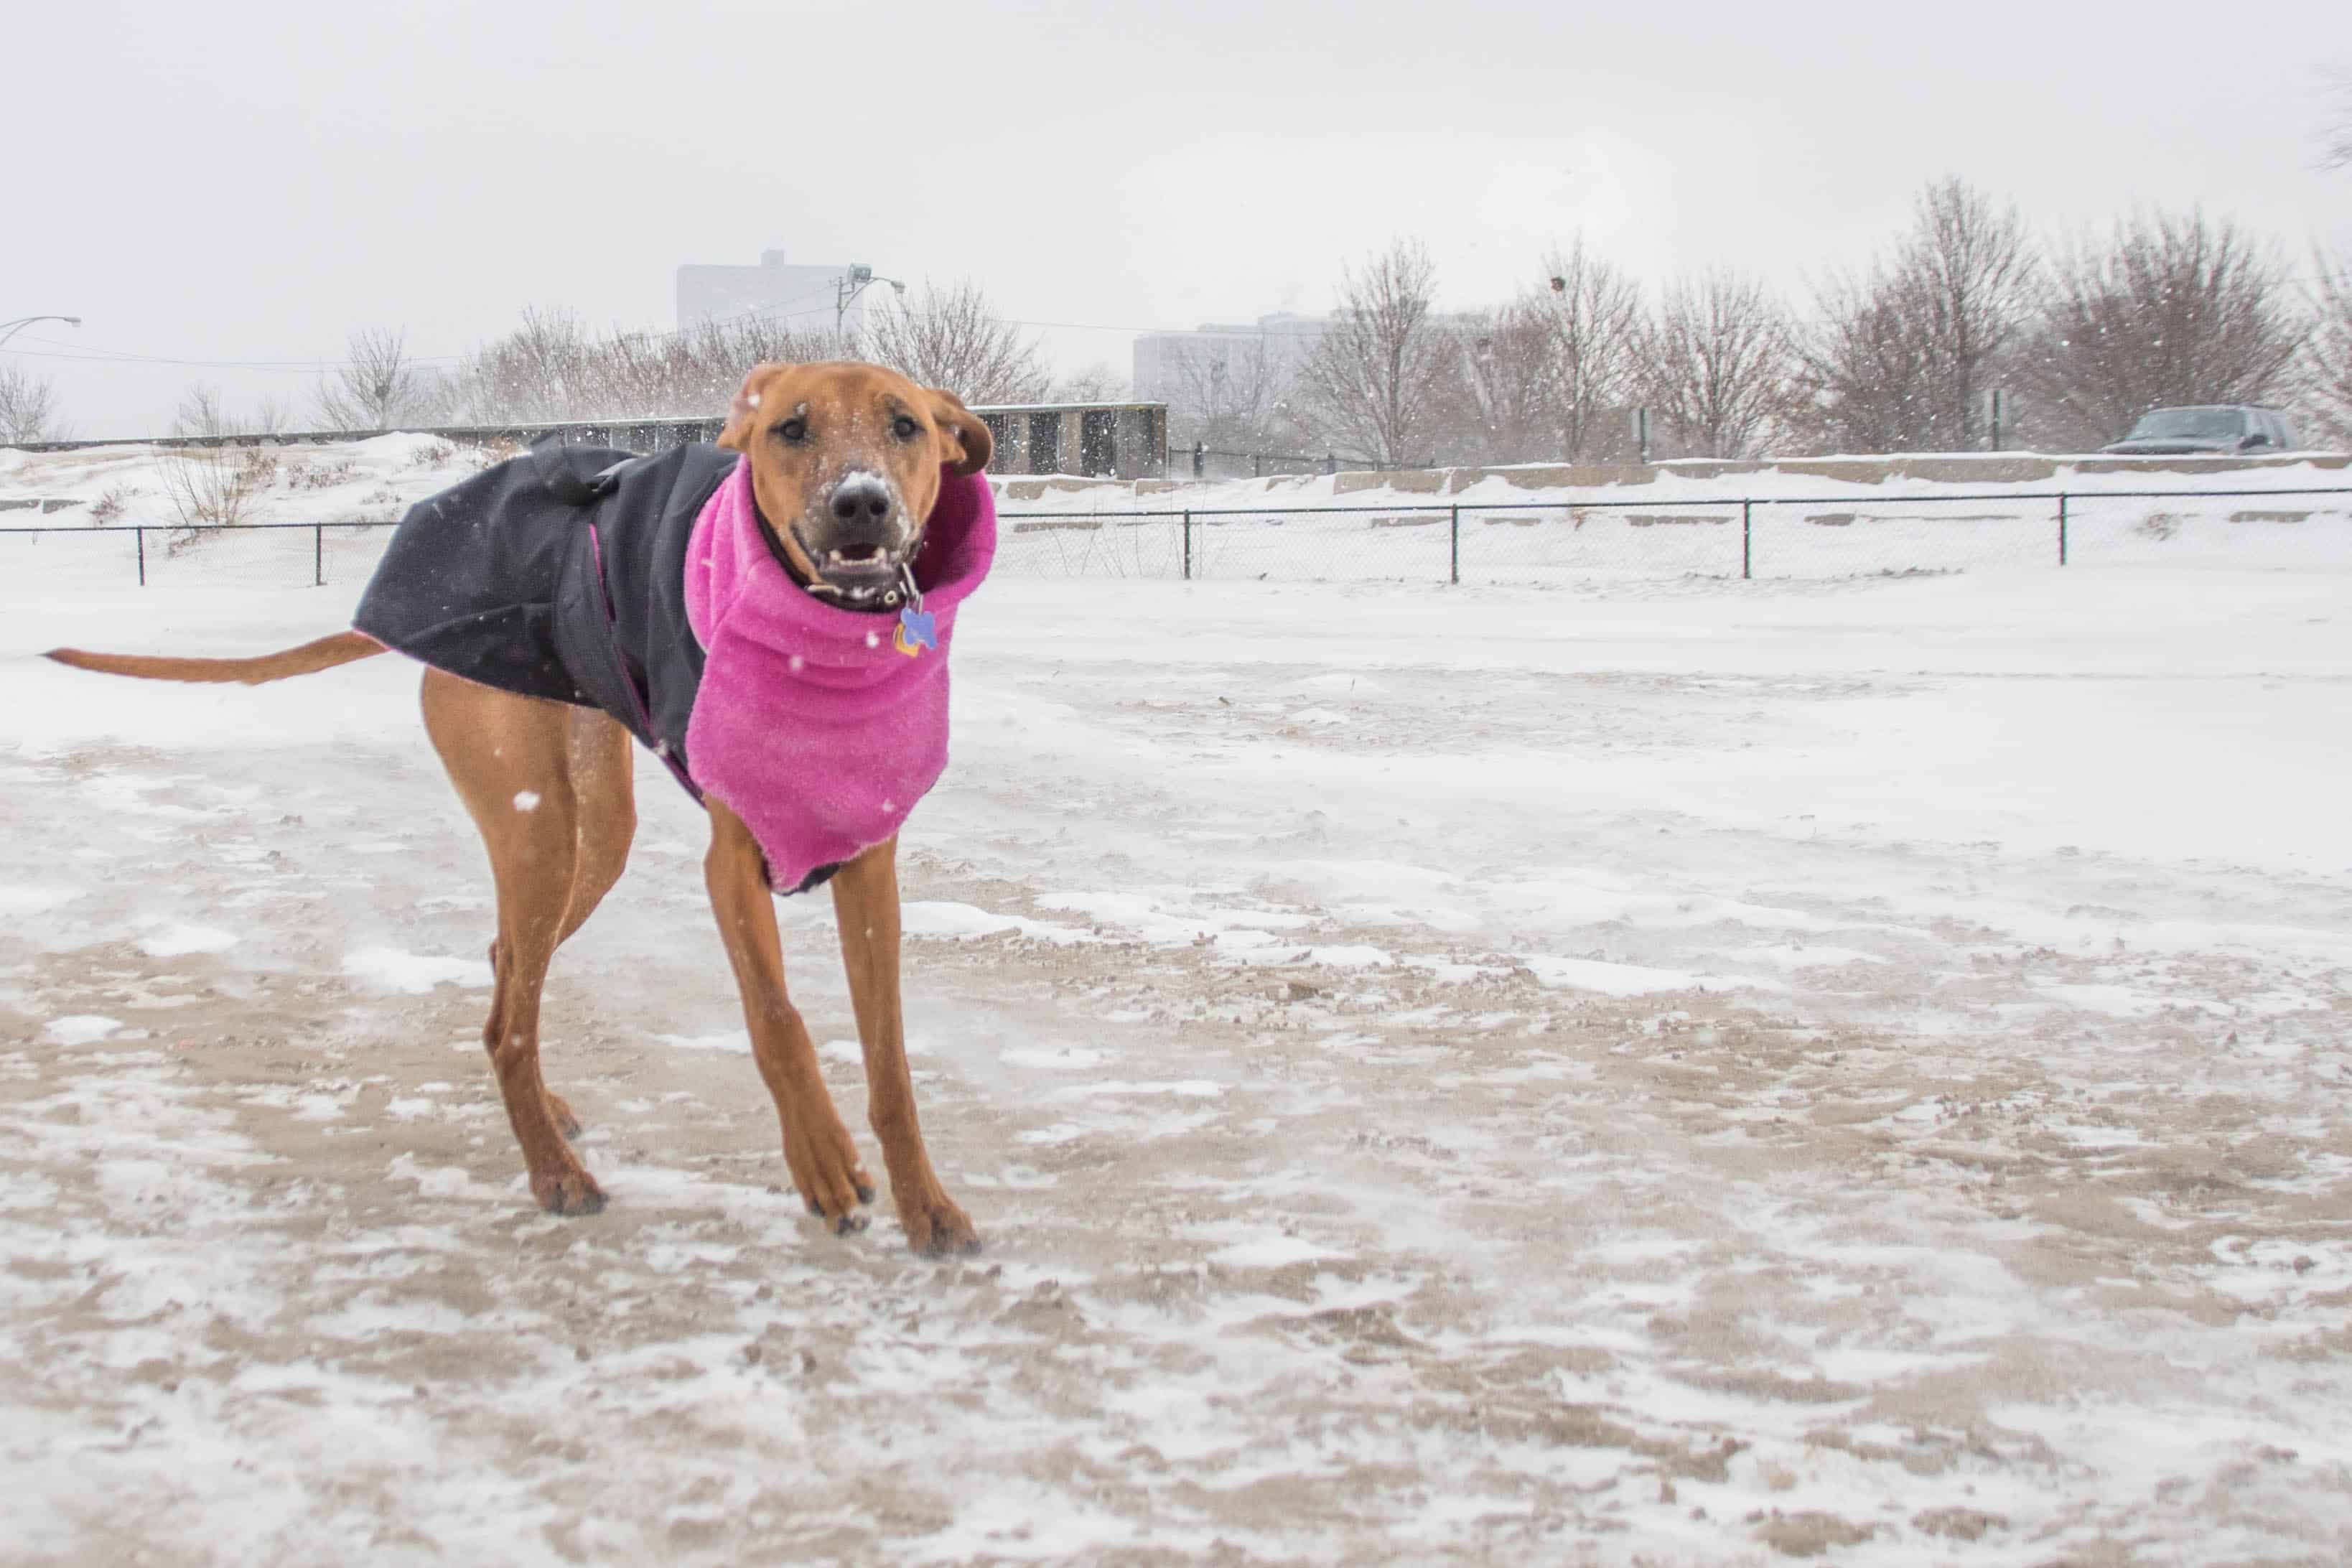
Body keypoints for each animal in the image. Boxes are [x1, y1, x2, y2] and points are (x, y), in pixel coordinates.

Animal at [48, 362, 983, 1260]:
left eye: (905, 424)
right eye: (791, 428)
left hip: (596, 835)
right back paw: (555, 1173)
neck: (826, 649)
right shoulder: (731, 869)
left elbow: (891, 1064)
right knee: (508, 1024)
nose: (860, 501)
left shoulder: (870, 871)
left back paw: (548, 1112)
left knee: (508, 971)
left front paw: (927, 1206)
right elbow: (778, 1020)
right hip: (538, 829)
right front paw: (822, 1163)